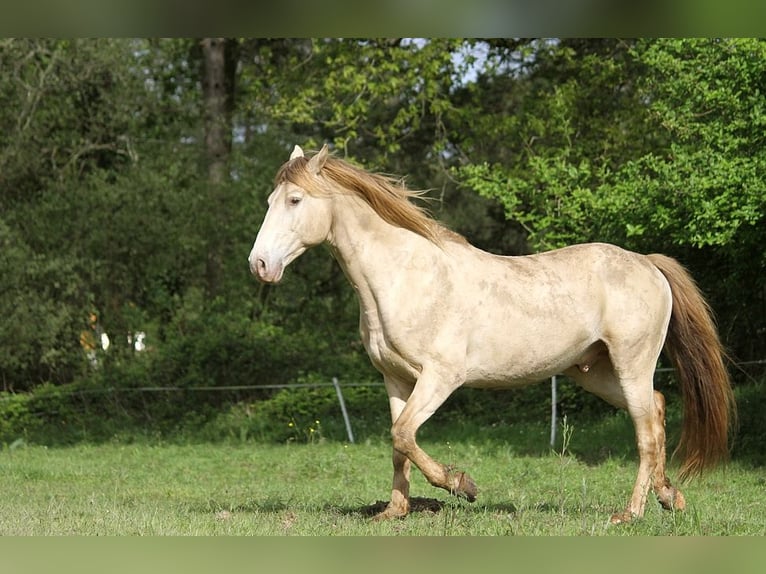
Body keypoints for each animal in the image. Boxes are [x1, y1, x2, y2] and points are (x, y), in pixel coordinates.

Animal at [248, 145, 736, 528]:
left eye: (294, 199)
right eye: (269, 200)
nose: (259, 265)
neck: (404, 276)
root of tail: (647, 263)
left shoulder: (440, 377)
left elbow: (404, 434)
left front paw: (461, 484)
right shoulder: (396, 380)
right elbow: (397, 443)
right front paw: (395, 511)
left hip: (631, 364)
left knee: (646, 432)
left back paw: (631, 513)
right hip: (593, 372)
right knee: (657, 408)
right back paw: (669, 496)